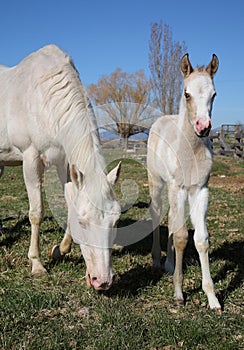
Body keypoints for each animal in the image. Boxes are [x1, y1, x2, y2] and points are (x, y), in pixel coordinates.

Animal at [0, 44, 121, 290]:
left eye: (116, 221)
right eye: (83, 222)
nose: (103, 281)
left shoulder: (66, 164)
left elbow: (69, 202)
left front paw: (59, 250)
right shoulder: (30, 159)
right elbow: (36, 212)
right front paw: (37, 264)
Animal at [148, 53, 222, 310]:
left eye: (214, 94)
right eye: (186, 93)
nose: (203, 127)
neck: (191, 152)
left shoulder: (200, 190)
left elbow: (201, 240)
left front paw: (212, 298)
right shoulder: (178, 188)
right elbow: (181, 237)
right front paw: (179, 293)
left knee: (171, 219)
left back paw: (170, 264)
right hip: (158, 183)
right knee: (157, 215)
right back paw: (157, 261)